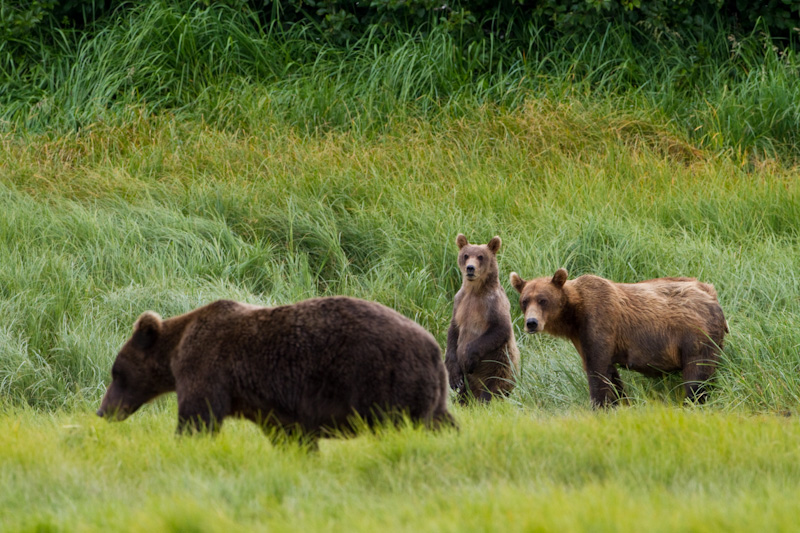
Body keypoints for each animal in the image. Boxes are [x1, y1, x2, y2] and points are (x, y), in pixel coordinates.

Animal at [97, 296, 456, 440]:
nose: (103, 411)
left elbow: (198, 416)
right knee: (442, 420)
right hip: (430, 391)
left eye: (116, 373)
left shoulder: (207, 367)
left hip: (384, 380)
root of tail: (433, 346)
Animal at [444, 233, 520, 400]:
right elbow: (453, 332)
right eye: (466, 255)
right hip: (469, 384)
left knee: (494, 388)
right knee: (463, 394)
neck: (475, 291)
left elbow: (500, 328)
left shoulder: (493, 304)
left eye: (480, 256)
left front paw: (467, 360)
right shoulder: (459, 302)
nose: (470, 268)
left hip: (500, 366)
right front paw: (454, 378)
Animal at [510, 268, 728, 406]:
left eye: (543, 300)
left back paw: (693, 402)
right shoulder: (582, 337)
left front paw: (599, 406)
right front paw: (621, 403)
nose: (531, 323)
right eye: (524, 301)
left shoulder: (599, 322)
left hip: (695, 336)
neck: (574, 316)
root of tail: (713, 296)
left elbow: (597, 372)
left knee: (696, 375)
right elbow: (610, 375)